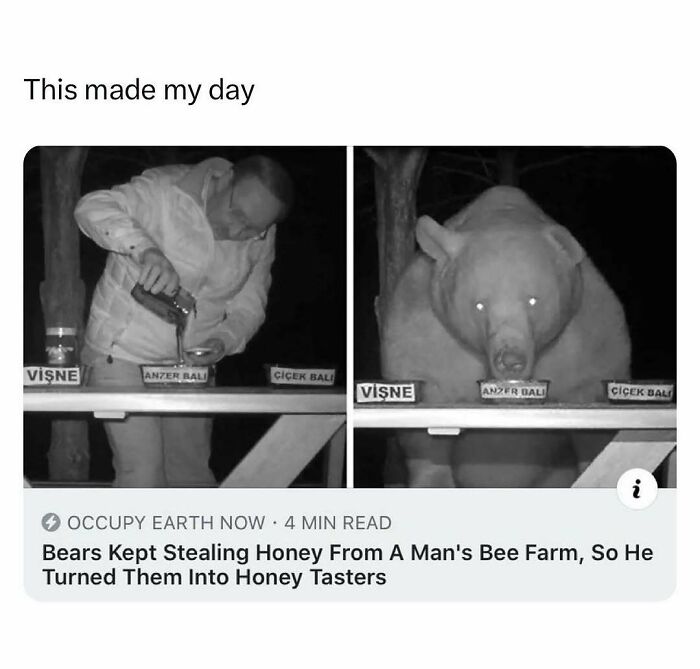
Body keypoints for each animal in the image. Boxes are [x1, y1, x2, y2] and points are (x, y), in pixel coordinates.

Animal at [380, 183, 632, 486]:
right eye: (479, 304)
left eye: (533, 300)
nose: (510, 360)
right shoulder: (424, 330)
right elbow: (425, 426)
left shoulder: (588, 334)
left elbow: (593, 418)